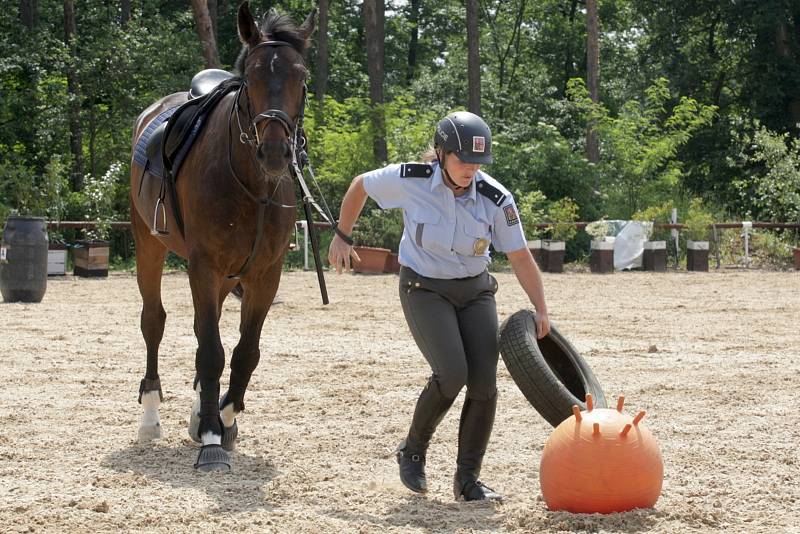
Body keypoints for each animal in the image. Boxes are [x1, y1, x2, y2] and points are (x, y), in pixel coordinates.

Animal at [129, 3, 316, 474]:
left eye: (301, 77)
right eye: (250, 77)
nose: (275, 151)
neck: (251, 183)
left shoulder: (265, 274)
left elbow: (244, 351)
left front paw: (222, 419)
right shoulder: (204, 266)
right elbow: (211, 349)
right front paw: (212, 438)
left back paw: (201, 411)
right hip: (149, 244)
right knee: (154, 321)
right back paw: (151, 417)